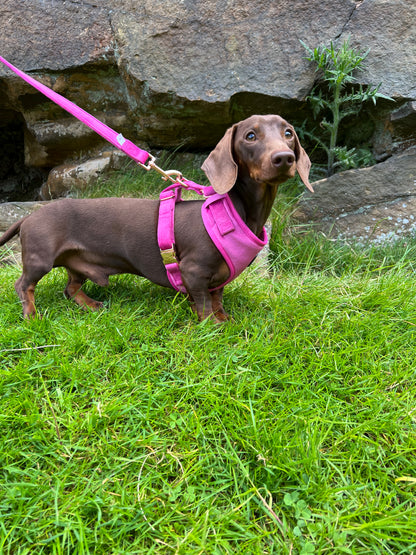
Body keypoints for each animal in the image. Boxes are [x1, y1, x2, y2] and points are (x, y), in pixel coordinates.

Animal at [0, 115, 312, 322]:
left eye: (288, 133)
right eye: (250, 136)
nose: (284, 158)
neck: (237, 211)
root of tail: (27, 218)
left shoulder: (218, 278)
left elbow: (217, 299)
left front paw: (224, 320)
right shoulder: (193, 271)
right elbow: (204, 304)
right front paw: (210, 326)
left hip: (77, 264)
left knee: (70, 288)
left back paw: (90, 304)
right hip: (40, 259)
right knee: (23, 285)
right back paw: (31, 314)